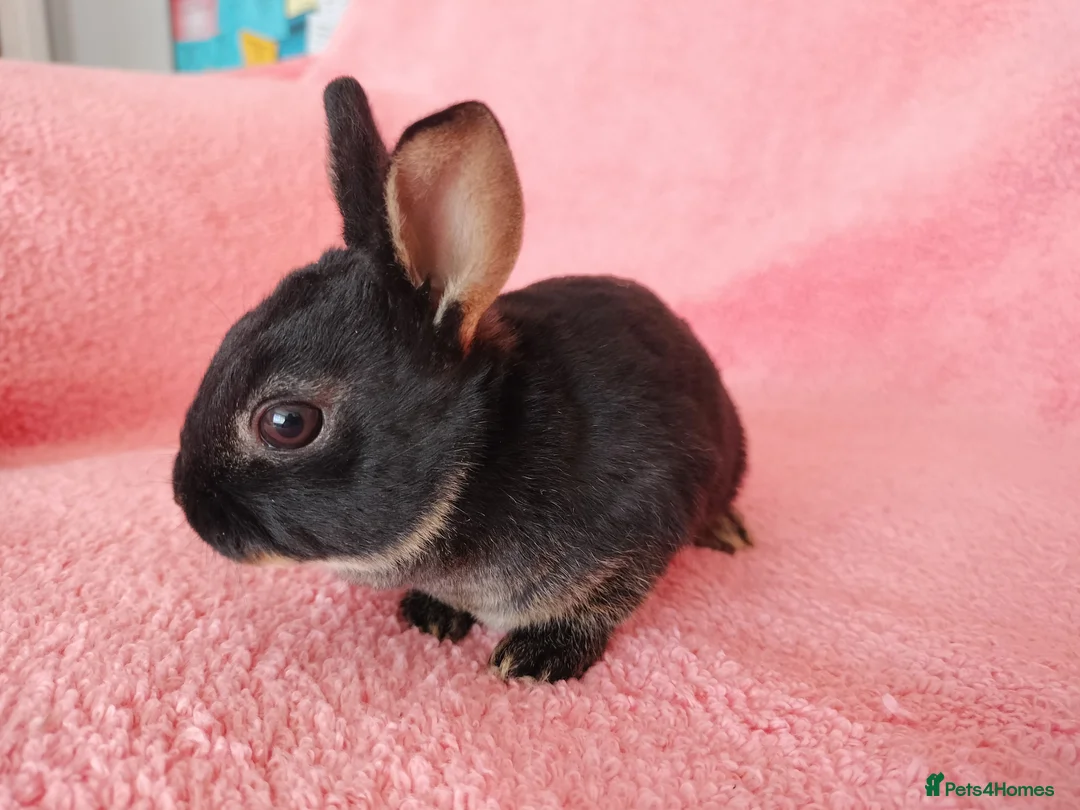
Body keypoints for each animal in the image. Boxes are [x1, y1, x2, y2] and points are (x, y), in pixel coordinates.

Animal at [172, 76, 751, 683]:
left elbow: (605, 603)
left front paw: (539, 657)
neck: (476, 458)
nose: (188, 504)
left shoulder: (641, 521)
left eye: (287, 423)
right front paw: (432, 615)